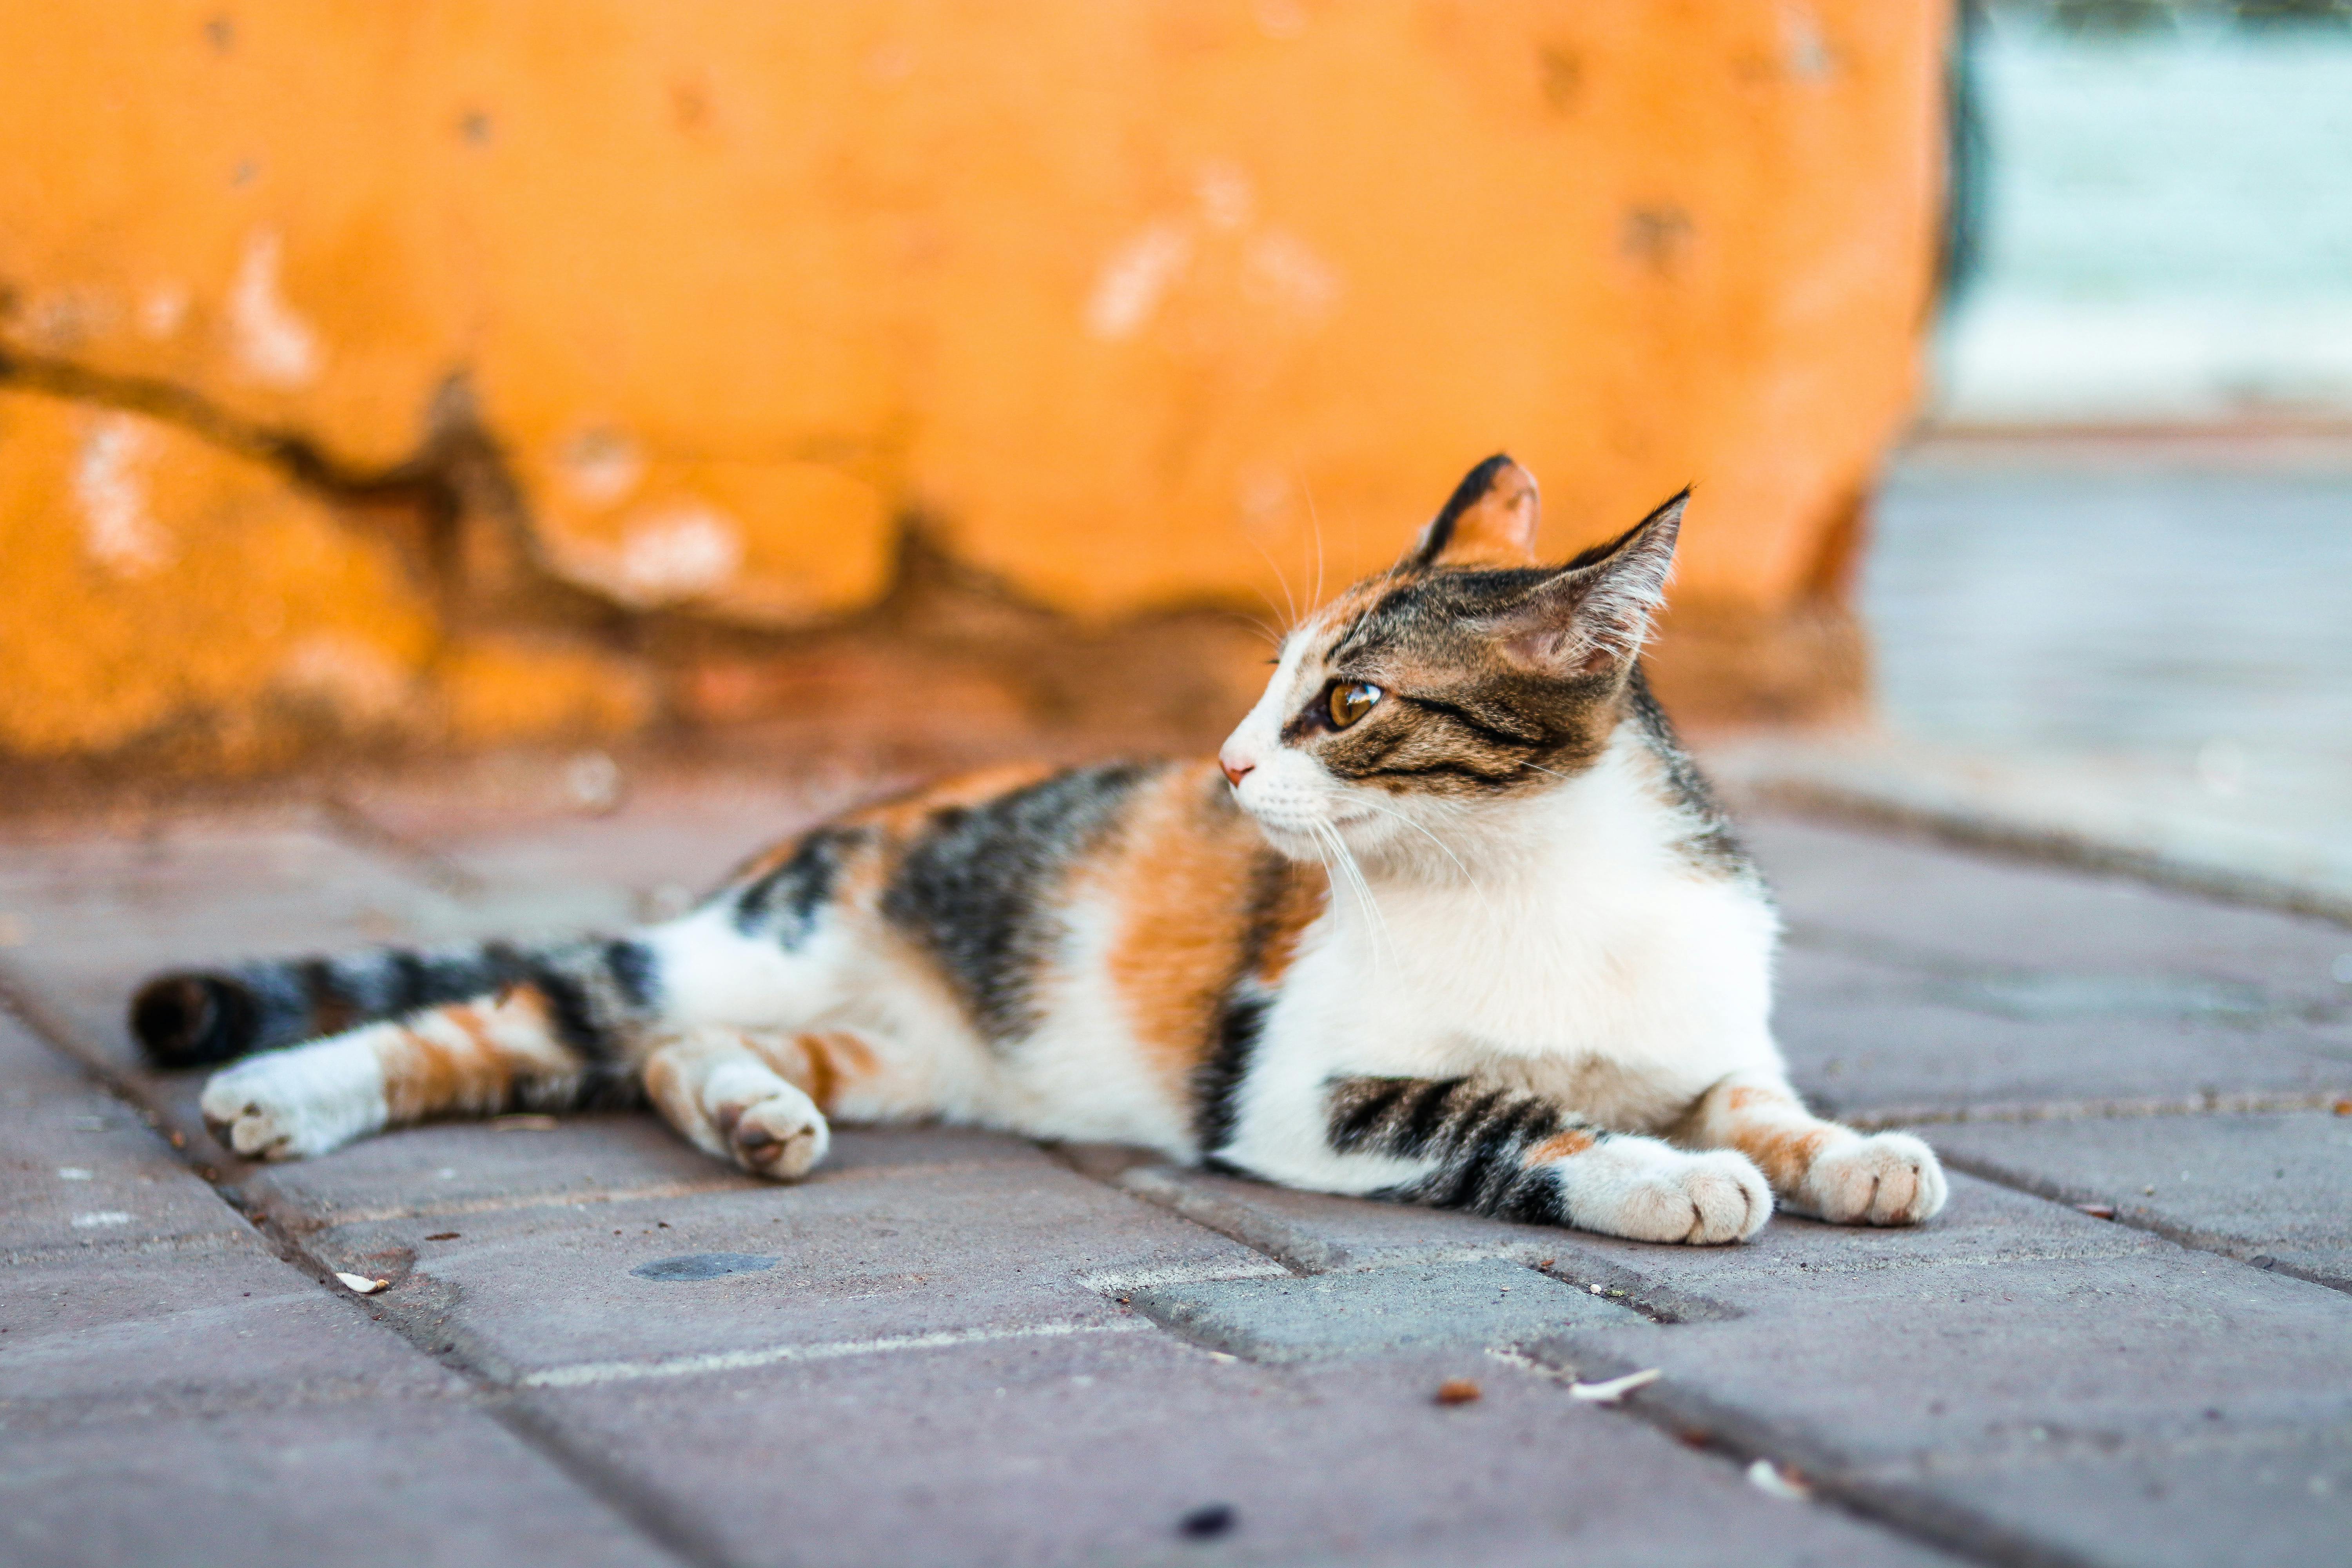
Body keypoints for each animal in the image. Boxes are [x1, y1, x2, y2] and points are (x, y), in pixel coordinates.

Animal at [138, 456, 1957, 1250]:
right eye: (1272, 683)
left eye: (1348, 699)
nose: (1227, 758)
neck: (1532, 873)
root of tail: (842, 815)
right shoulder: (1298, 1089)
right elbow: (1504, 1114)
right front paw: (1662, 1176)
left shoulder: (1706, 1035)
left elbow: (1759, 1097)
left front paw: (1852, 1151)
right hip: (735, 944)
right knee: (526, 1012)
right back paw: (283, 1091)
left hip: (891, 1045)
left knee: (669, 1057)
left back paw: (749, 1112)